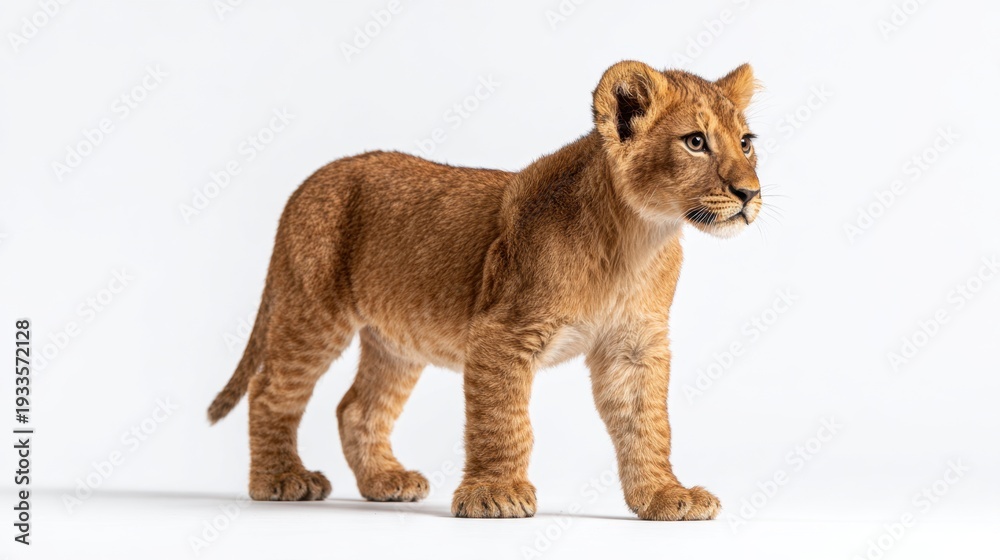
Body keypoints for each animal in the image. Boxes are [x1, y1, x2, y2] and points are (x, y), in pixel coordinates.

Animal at [208, 60, 762, 520]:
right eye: (695, 142)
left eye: (746, 141)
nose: (750, 193)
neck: (637, 238)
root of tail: (313, 179)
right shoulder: (501, 332)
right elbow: (502, 421)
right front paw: (495, 494)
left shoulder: (635, 346)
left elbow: (647, 426)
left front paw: (665, 496)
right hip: (313, 311)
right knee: (271, 389)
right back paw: (282, 479)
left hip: (397, 338)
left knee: (357, 408)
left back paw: (385, 481)